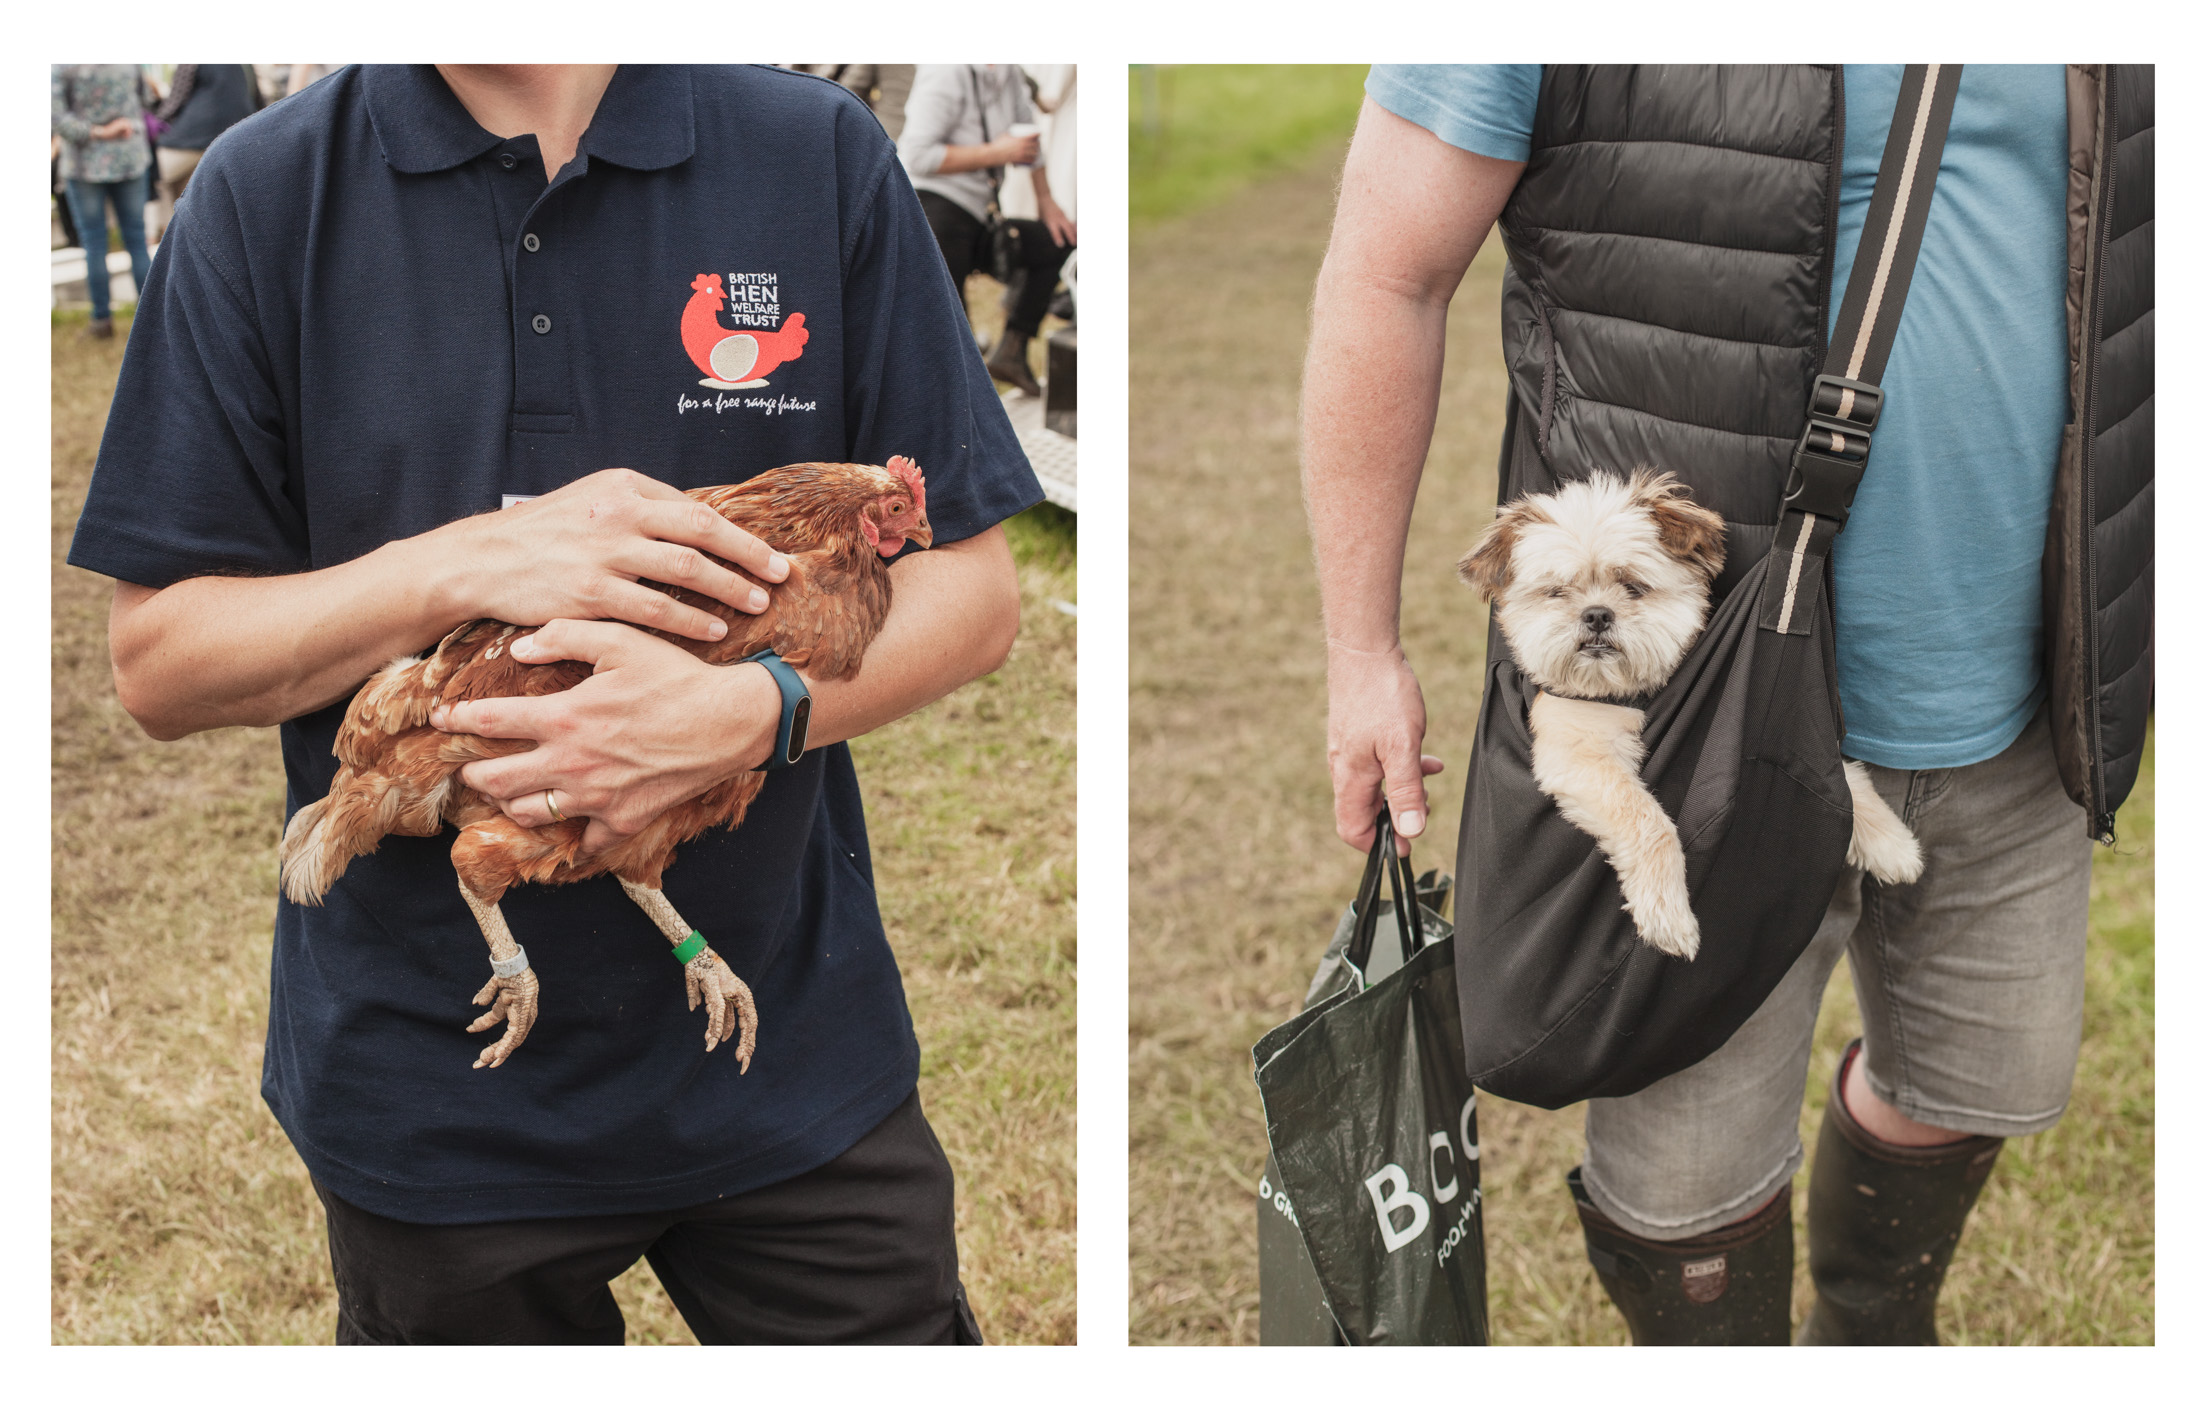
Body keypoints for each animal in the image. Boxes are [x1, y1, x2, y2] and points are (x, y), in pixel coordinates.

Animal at [1460, 470, 1927, 959]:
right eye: (1557, 592)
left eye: (1633, 587)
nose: (1596, 614)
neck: (1627, 692)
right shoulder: (1576, 753)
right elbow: (1649, 822)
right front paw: (1668, 916)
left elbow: (1849, 777)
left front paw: (1892, 843)